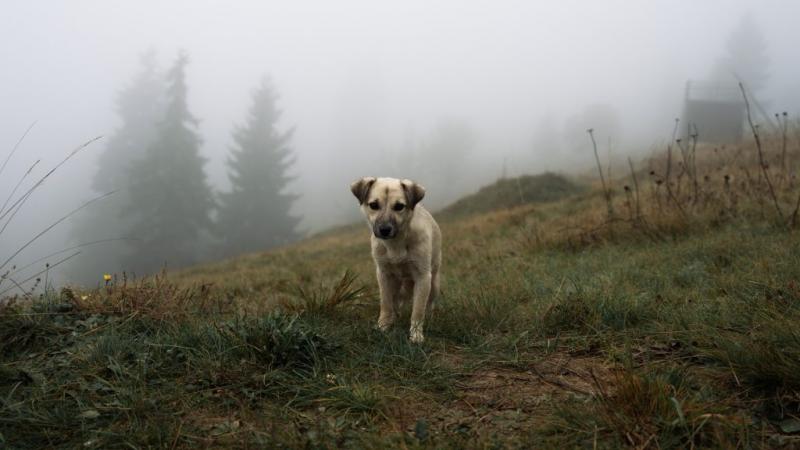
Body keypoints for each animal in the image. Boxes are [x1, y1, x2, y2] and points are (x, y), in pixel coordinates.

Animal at [348, 178, 440, 342]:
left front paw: (416, 334)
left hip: (434, 284)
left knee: (429, 304)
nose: (384, 230)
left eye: (399, 206)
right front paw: (383, 326)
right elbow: (386, 304)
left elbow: (418, 310)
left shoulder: (423, 277)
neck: (396, 244)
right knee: (395, 303)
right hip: (396, 284)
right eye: (374, 205)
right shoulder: (383, 274)